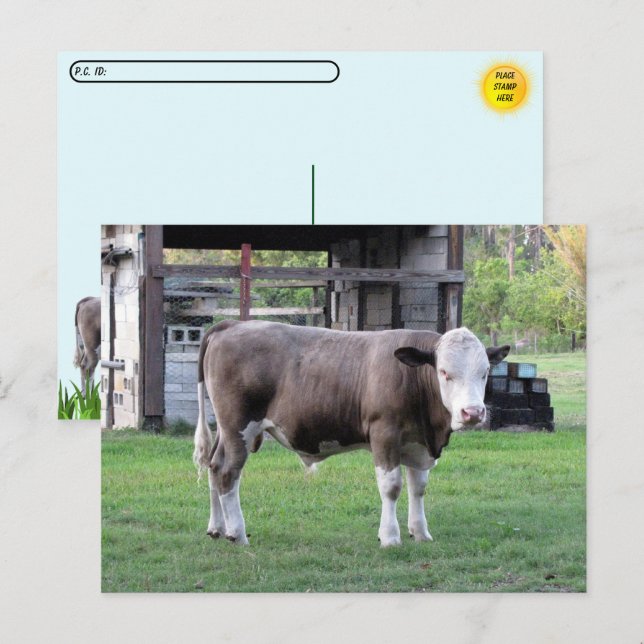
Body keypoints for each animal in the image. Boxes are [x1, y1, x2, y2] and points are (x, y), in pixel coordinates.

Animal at [193, 320, 510, 547]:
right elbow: (391, 486)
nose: (473, 413)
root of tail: (231, 324)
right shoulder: (385, 434)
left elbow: (418, 487)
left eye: (484, 372)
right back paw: (237, 533)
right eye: (444, 372)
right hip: (238, 426)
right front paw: (390, 537)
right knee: (228, 473)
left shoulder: (418, 443)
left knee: (214, 466)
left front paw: (420, 533)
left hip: (225, 429)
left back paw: (216, 527)